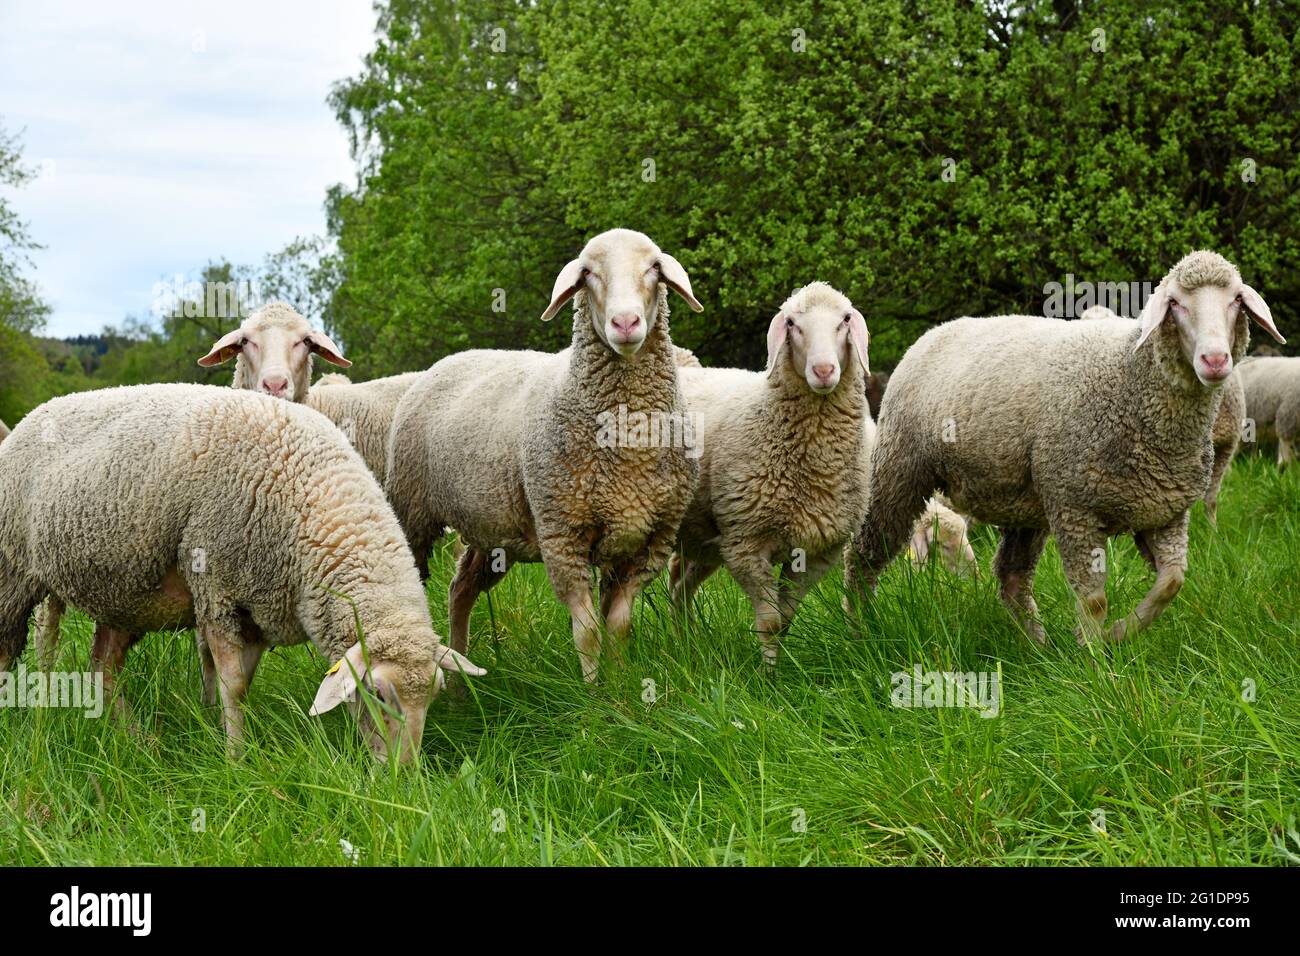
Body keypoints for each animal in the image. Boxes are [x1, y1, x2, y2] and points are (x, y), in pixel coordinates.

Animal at [0, 384, 483, 761]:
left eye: (435, 693)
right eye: (379, 694)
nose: (403, 776)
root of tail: (34, 414)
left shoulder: (259, 604)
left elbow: (241, 683)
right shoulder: (217, 588)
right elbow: (232, 684)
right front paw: (237, 757)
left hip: (124, 591)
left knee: (103, 667)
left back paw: (138, 741)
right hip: (13, 574)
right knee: (14, 651)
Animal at [386, 228, 703, 681]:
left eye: (654, 267)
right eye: (587, 273)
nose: (625, 323)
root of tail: (450, 359)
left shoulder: (646, 543)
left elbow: (619, 627)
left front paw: (621, 685)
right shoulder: (562, 534)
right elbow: (587, 632)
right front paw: (592, 690)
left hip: (493, 532)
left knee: (460, 588)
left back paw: (462, 676)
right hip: (413, 512)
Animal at [667, 282, 872, 665]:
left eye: (844, 320)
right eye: (792, 324)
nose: (824, 370)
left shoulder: (818, 551)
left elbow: (787, 618)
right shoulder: (745, 544)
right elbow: (771, 623)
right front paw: (768, 674)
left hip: (705, 538)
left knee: (679, 585)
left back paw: (686, 643)